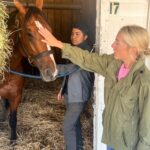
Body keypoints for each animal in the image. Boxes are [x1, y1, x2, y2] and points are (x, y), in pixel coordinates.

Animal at [0, 0, 57, 144]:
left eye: (49, 30)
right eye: (29, 33)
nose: (52, 72)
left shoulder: (16, 96)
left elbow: (13, 119)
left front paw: (13, 141)